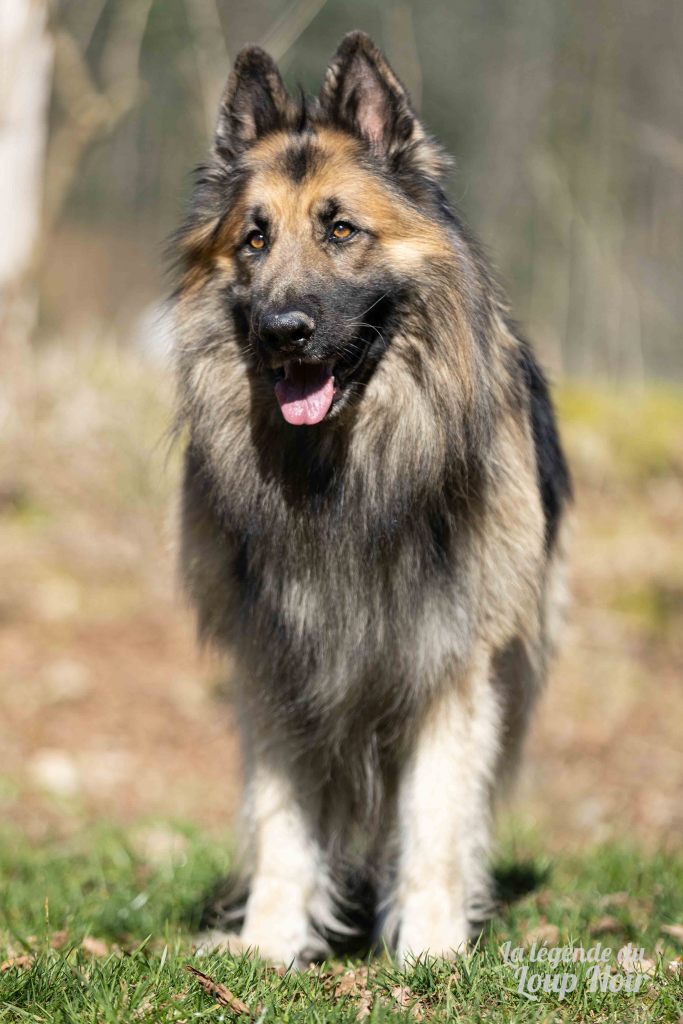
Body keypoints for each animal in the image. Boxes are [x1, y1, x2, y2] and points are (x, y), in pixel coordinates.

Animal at [171, 31, 571, 966]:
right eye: (254, 239)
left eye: (341, 229)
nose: (282, 332)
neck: (344, 477)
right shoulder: (279, 662)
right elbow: (284, 822)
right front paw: (269, 944)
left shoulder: (452, 661)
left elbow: (434, 817)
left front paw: (428, 950)